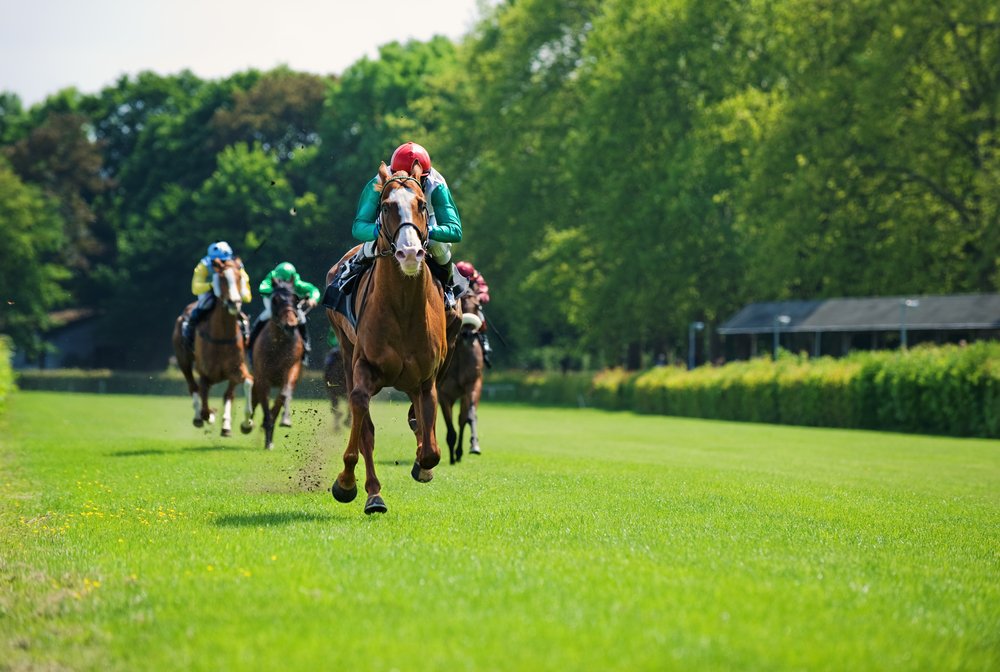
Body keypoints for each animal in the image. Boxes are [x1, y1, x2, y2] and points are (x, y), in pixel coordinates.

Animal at [171, 257, 254, 437]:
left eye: (239, 277)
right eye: (221, 279)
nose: (234, 303)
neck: (222, 337)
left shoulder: (236, 369)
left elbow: (247, 382)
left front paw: (247, 423)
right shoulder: (205, 374)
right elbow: (204, 404)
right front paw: (209, 415)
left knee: (228, 394)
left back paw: (226, 425)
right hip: (183, 360)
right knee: (193, 387)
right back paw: (200, 418)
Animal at [248, 281, 305, 450]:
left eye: (296, 299)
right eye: (275, 300)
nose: (290, 326)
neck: (279, 343)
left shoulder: (292, 369)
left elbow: (284, 395)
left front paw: (285, 420)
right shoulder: (262, 377)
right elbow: (263, 401)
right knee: (254, 397)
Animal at [326, 161, 451, 514]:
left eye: (421, 204)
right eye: (385, 206)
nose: (409, 253)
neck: (404, 308)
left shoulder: (426, 378)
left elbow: (431, 450)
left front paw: (422, 466)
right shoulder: (364, 366)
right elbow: (362, 419)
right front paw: (347, 483)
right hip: (346, 349)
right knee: (364, 423)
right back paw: (372, 494)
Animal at [437, 292, 485, 464]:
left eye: (478, 306)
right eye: (462, 304)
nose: (468, 336)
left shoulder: (473, 384)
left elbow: (468, 417)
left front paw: (474, 445)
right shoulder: (444, 393)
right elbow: (450, 426)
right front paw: (451, 456)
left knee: (462, 418)